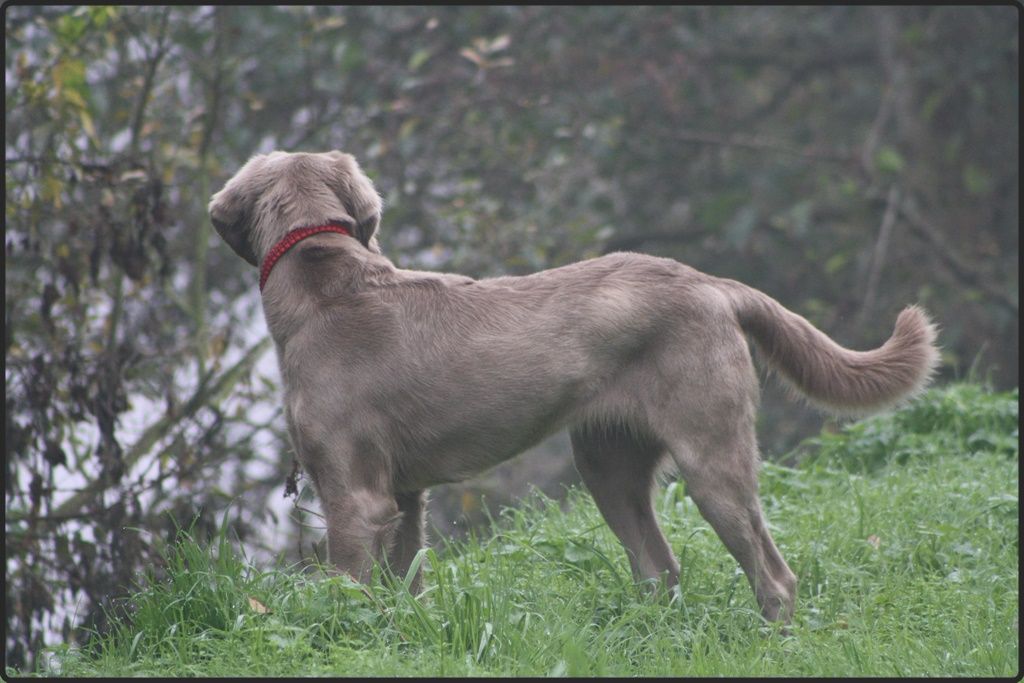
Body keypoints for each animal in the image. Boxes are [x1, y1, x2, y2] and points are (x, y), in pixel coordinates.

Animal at [209, 150, 939, 622]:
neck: (326, 282)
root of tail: (711, 283)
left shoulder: (354, 498)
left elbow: (351, 596)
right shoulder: (406, 498)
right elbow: (404, 589)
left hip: (712, 458)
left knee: (774, 575)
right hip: (608, 467)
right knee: (661, 568)